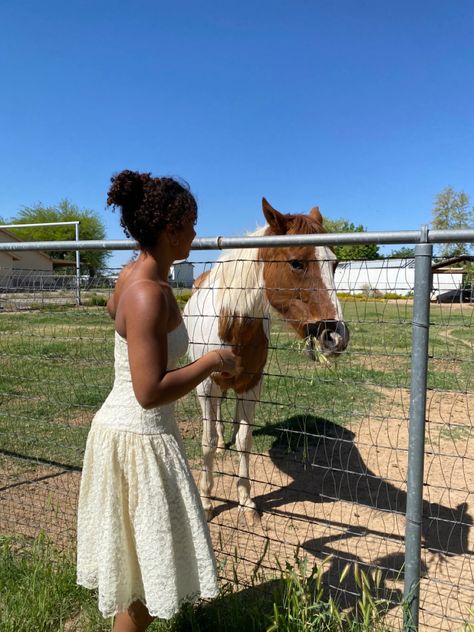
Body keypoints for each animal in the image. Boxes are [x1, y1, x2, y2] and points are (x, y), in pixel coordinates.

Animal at [183, 199, 350, 524]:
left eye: (334, 264)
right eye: (297, 263)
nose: (336, 336)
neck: (231, 323)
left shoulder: (251, 384)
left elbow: (245, 440)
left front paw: (247, 503)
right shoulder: (206, 386)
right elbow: (206, 442)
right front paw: (207, 500)